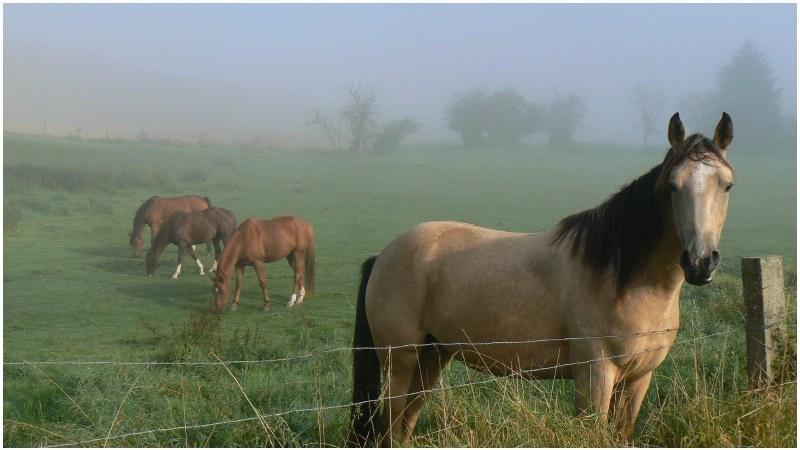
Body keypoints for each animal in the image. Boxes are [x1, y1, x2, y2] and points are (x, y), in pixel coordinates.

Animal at [346, 113, 736, 446]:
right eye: (672, 186)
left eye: (728, 186)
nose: (700, 262)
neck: (624, 280)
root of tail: (384, 255)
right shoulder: (594, 375)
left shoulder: (639, 379)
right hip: (400, 362)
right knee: (389, 425)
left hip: (431, 358)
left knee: (404, 425)